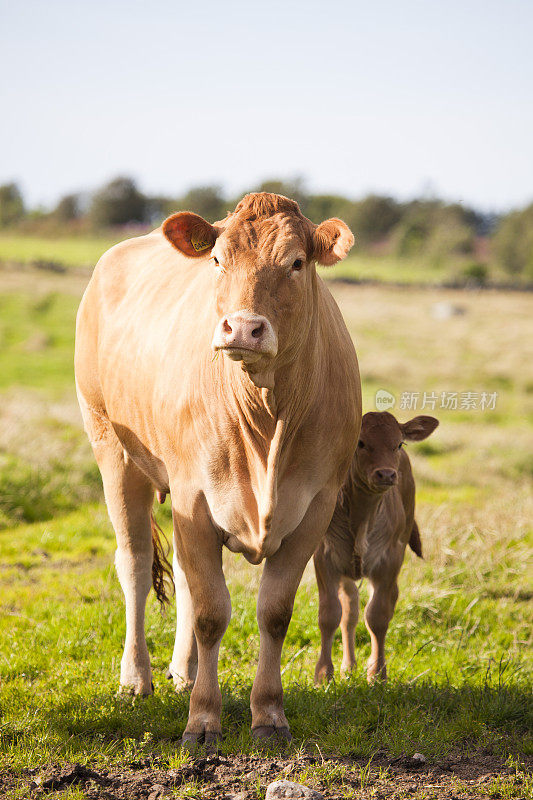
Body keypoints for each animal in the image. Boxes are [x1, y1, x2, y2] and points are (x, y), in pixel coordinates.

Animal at [75, 192, 362, 744]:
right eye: (216, 260)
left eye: (297, 263)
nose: (243, 328)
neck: (266, 418)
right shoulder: (194, 495)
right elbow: (211, 613)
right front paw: (204, 720)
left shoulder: (315, 507)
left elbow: (273, 612)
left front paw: (268, 713)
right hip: (112, 448)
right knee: (134, 564)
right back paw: (136, 678)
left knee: (185, 578)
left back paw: (183, 673)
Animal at [312, 412, 436, 680]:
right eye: (360, 443)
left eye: (399, 444)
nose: (387, 474)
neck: (361, 518)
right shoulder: (325, 558)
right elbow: (330, 614)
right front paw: (324, 674)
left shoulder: (390, 560)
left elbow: (378, 615)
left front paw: (377, 673)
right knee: (349, 610)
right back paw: (348, 666)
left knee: (386, 601)